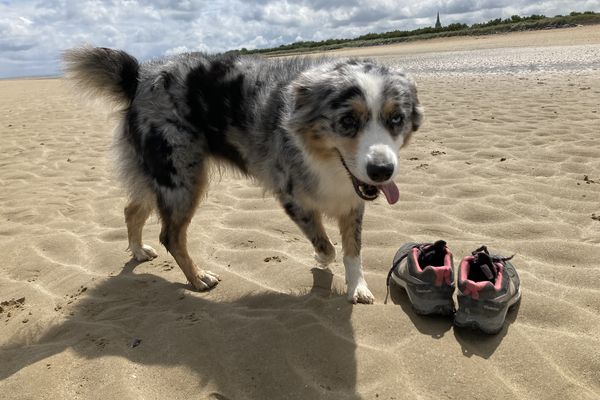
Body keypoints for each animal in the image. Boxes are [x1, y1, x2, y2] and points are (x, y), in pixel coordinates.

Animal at [63, 47, 424, 304]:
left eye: (396, 119)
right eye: (348, 121)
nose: (382, 171)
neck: (326, 159)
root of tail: (138, 76)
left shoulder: (352, 199)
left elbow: (353, 250)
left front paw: (357, 287)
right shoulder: (291, 196)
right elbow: (327, 245)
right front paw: (321, 259)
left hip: (157, 175)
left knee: (131, 210)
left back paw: (138, 251)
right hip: (181, 176)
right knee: (171, 235)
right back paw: (197, 278)